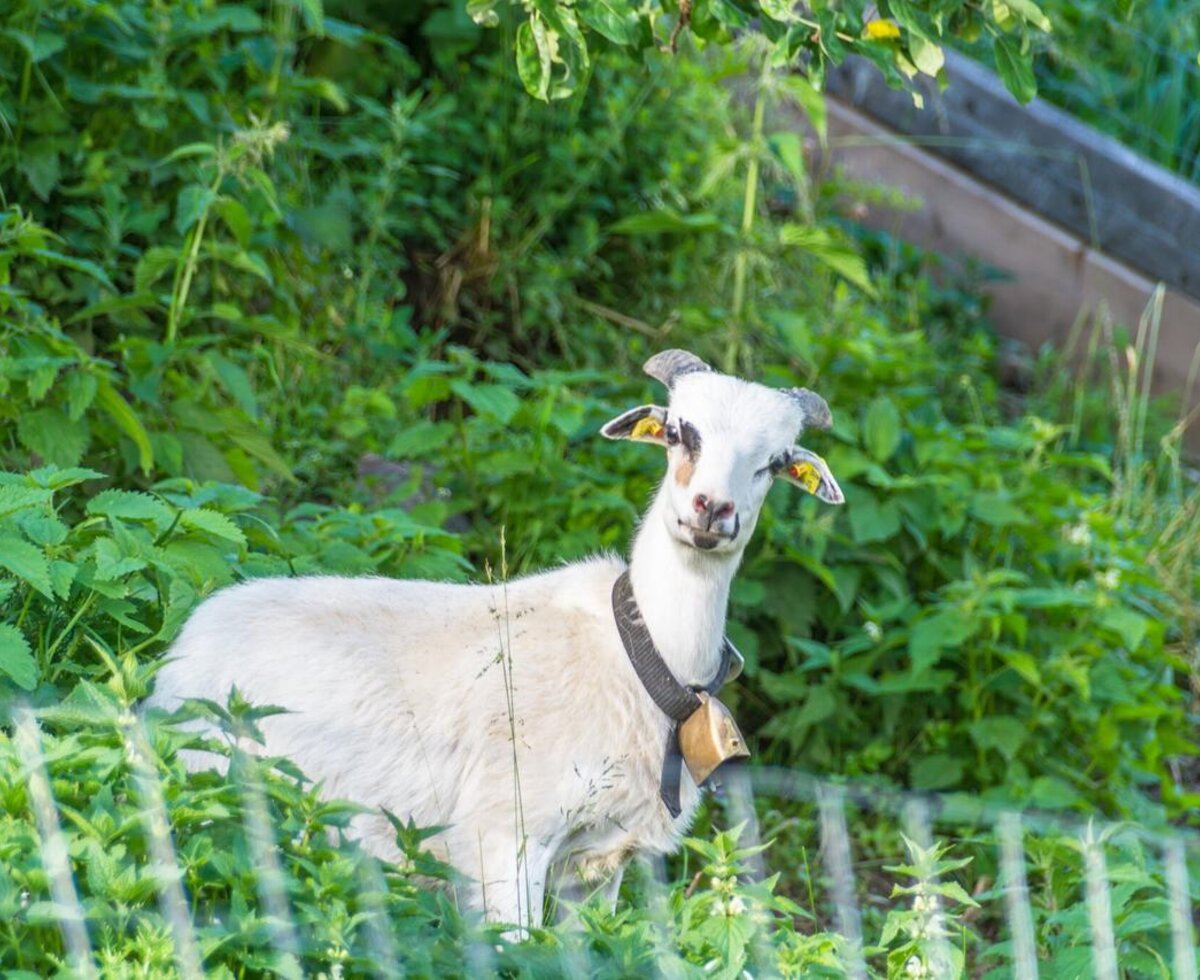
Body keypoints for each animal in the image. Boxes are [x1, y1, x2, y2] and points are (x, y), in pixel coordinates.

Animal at [146, 349, 843, 927]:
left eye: (776, 463)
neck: (640, 655)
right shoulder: (504, 838)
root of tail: (177, 658)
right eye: (676, 432)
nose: (711, 511)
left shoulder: (598, 865)